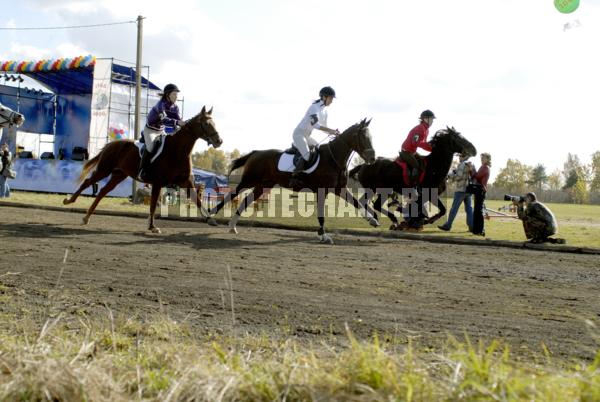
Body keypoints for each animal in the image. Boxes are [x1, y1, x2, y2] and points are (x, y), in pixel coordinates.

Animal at [63, 107, 223, 232]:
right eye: (206, 123)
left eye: (214, 123)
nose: (219, 141)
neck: (177, 151)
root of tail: (112, 144)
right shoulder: (158, 183)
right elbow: (152, 205)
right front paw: (152, 227)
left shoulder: (185, 182)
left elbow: (198, 200)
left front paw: (211, 220)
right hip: (104, 170)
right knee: (88, 182)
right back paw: (69, 201)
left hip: (119, 175)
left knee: (102, 191)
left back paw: (86, 217)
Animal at [211, 118, 380, 245]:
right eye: (363, 137)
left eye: (372, 137)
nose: (373, 158)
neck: (334, 159)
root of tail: (256, 152)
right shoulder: (322, 191)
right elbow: (321, 214)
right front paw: (323, 236)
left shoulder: (340, 189)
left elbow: (357, 203)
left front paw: (372, 220)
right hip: (249, 180)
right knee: (232, 194)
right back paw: (211, 215)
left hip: (263, 185)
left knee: (246, 200)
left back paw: (232, 226)